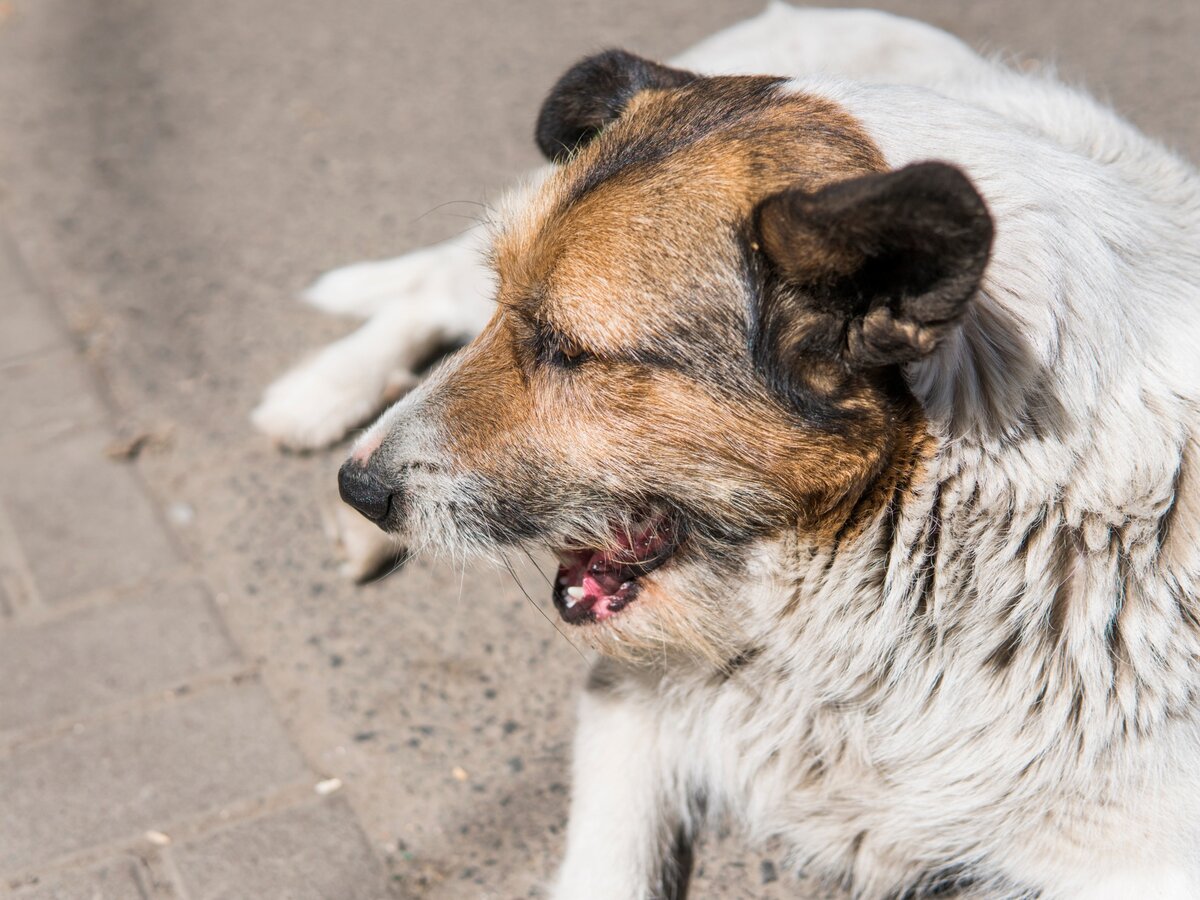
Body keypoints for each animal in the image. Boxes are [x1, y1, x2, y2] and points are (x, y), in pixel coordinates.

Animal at [250, 7, 1200, 900]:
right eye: (515, 314)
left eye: (566, 350)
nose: (358, 488)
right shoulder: (629, 705)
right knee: (425, 293)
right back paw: (318, 402)